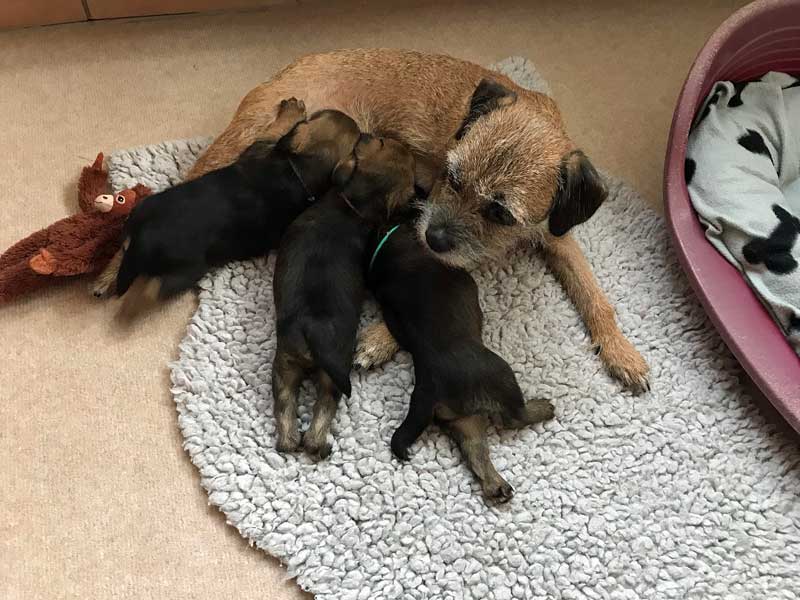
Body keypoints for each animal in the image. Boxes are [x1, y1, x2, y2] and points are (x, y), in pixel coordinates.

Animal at [167, 49, 649, 392]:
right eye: (452, 177)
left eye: (500, 211)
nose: (434, 237)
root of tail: (274, 80)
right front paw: (383, 338)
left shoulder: (555, 233)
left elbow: (593, 293)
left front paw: (621, 351)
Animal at [271, 134, 417, 458]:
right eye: (383, 142)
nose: (365, 134)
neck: (352, 205)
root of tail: (311, 329)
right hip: (308, 367)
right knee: (305, 413)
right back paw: (307, 445)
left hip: (302, 366)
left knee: (302, 411)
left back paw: (304, 444)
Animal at [367, 217, 555, 502]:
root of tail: (429, 389)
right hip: (501, 375)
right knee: (513, 418)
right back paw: (543, 407)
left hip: (463, 420)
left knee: (476, 451)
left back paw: (496, 486)